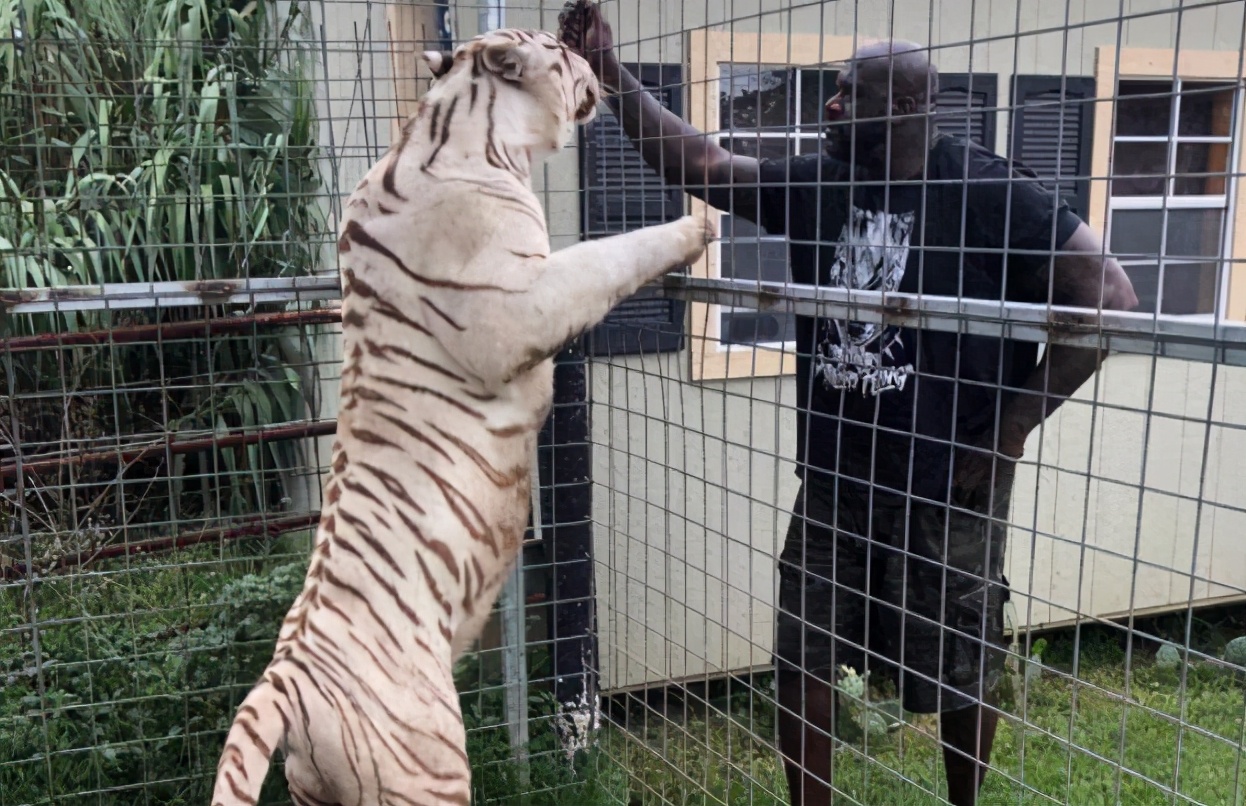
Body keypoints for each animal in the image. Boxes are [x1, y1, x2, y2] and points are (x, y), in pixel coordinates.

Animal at [211, 25, 712, 806]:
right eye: (563, 53)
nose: (589, 59)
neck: (463, 129)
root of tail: (284, 680)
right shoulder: (525, 303)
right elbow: (608, 256)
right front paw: (699, 219)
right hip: (430, 767)